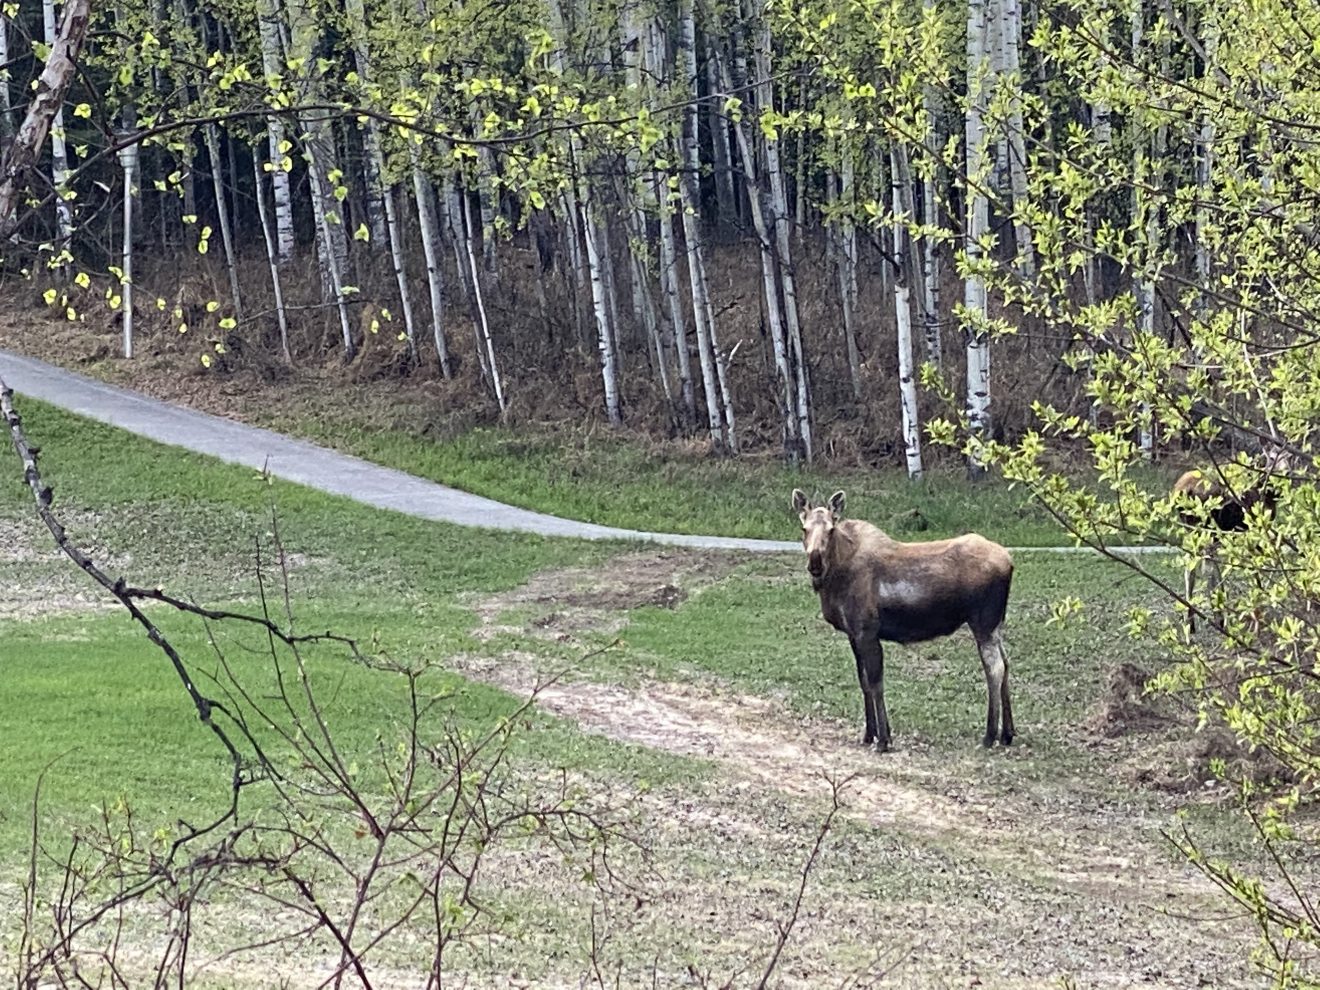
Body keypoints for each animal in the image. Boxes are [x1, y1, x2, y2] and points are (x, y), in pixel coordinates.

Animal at [792, 489, 1016, 751]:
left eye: (830, 529)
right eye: (804, 528)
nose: (815, 562)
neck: (834, 578)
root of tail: (1010, 562)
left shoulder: (867, 631)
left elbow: (876, 682)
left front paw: (883, 740)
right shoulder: (853, 634)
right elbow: (863, 681)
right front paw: (869, 734)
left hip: (983, 622)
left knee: (995, 668)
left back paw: (989, 735)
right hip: (996, 624)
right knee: (1006, 664)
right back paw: (1007, 733)